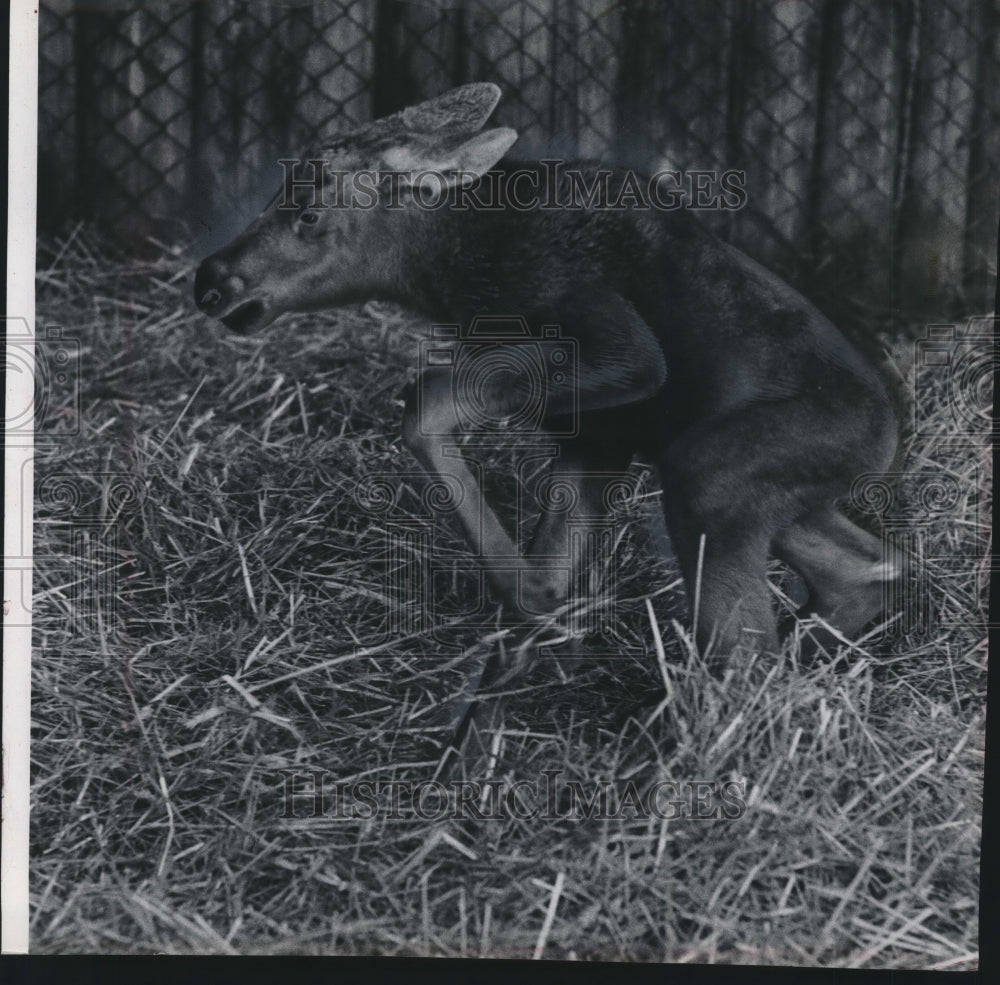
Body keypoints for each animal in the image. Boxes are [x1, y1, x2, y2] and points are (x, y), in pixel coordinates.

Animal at [195, 83, 900, 747]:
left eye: (310, 212)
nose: (211, 280)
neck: (454, 273)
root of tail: (885, 438)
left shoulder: (624, 355)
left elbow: (427, 400)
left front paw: (534, 597)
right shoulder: (596, 437)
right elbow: (535, 598)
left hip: (709, 475)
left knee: (748, 664)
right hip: (767, 492)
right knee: (866, 568)